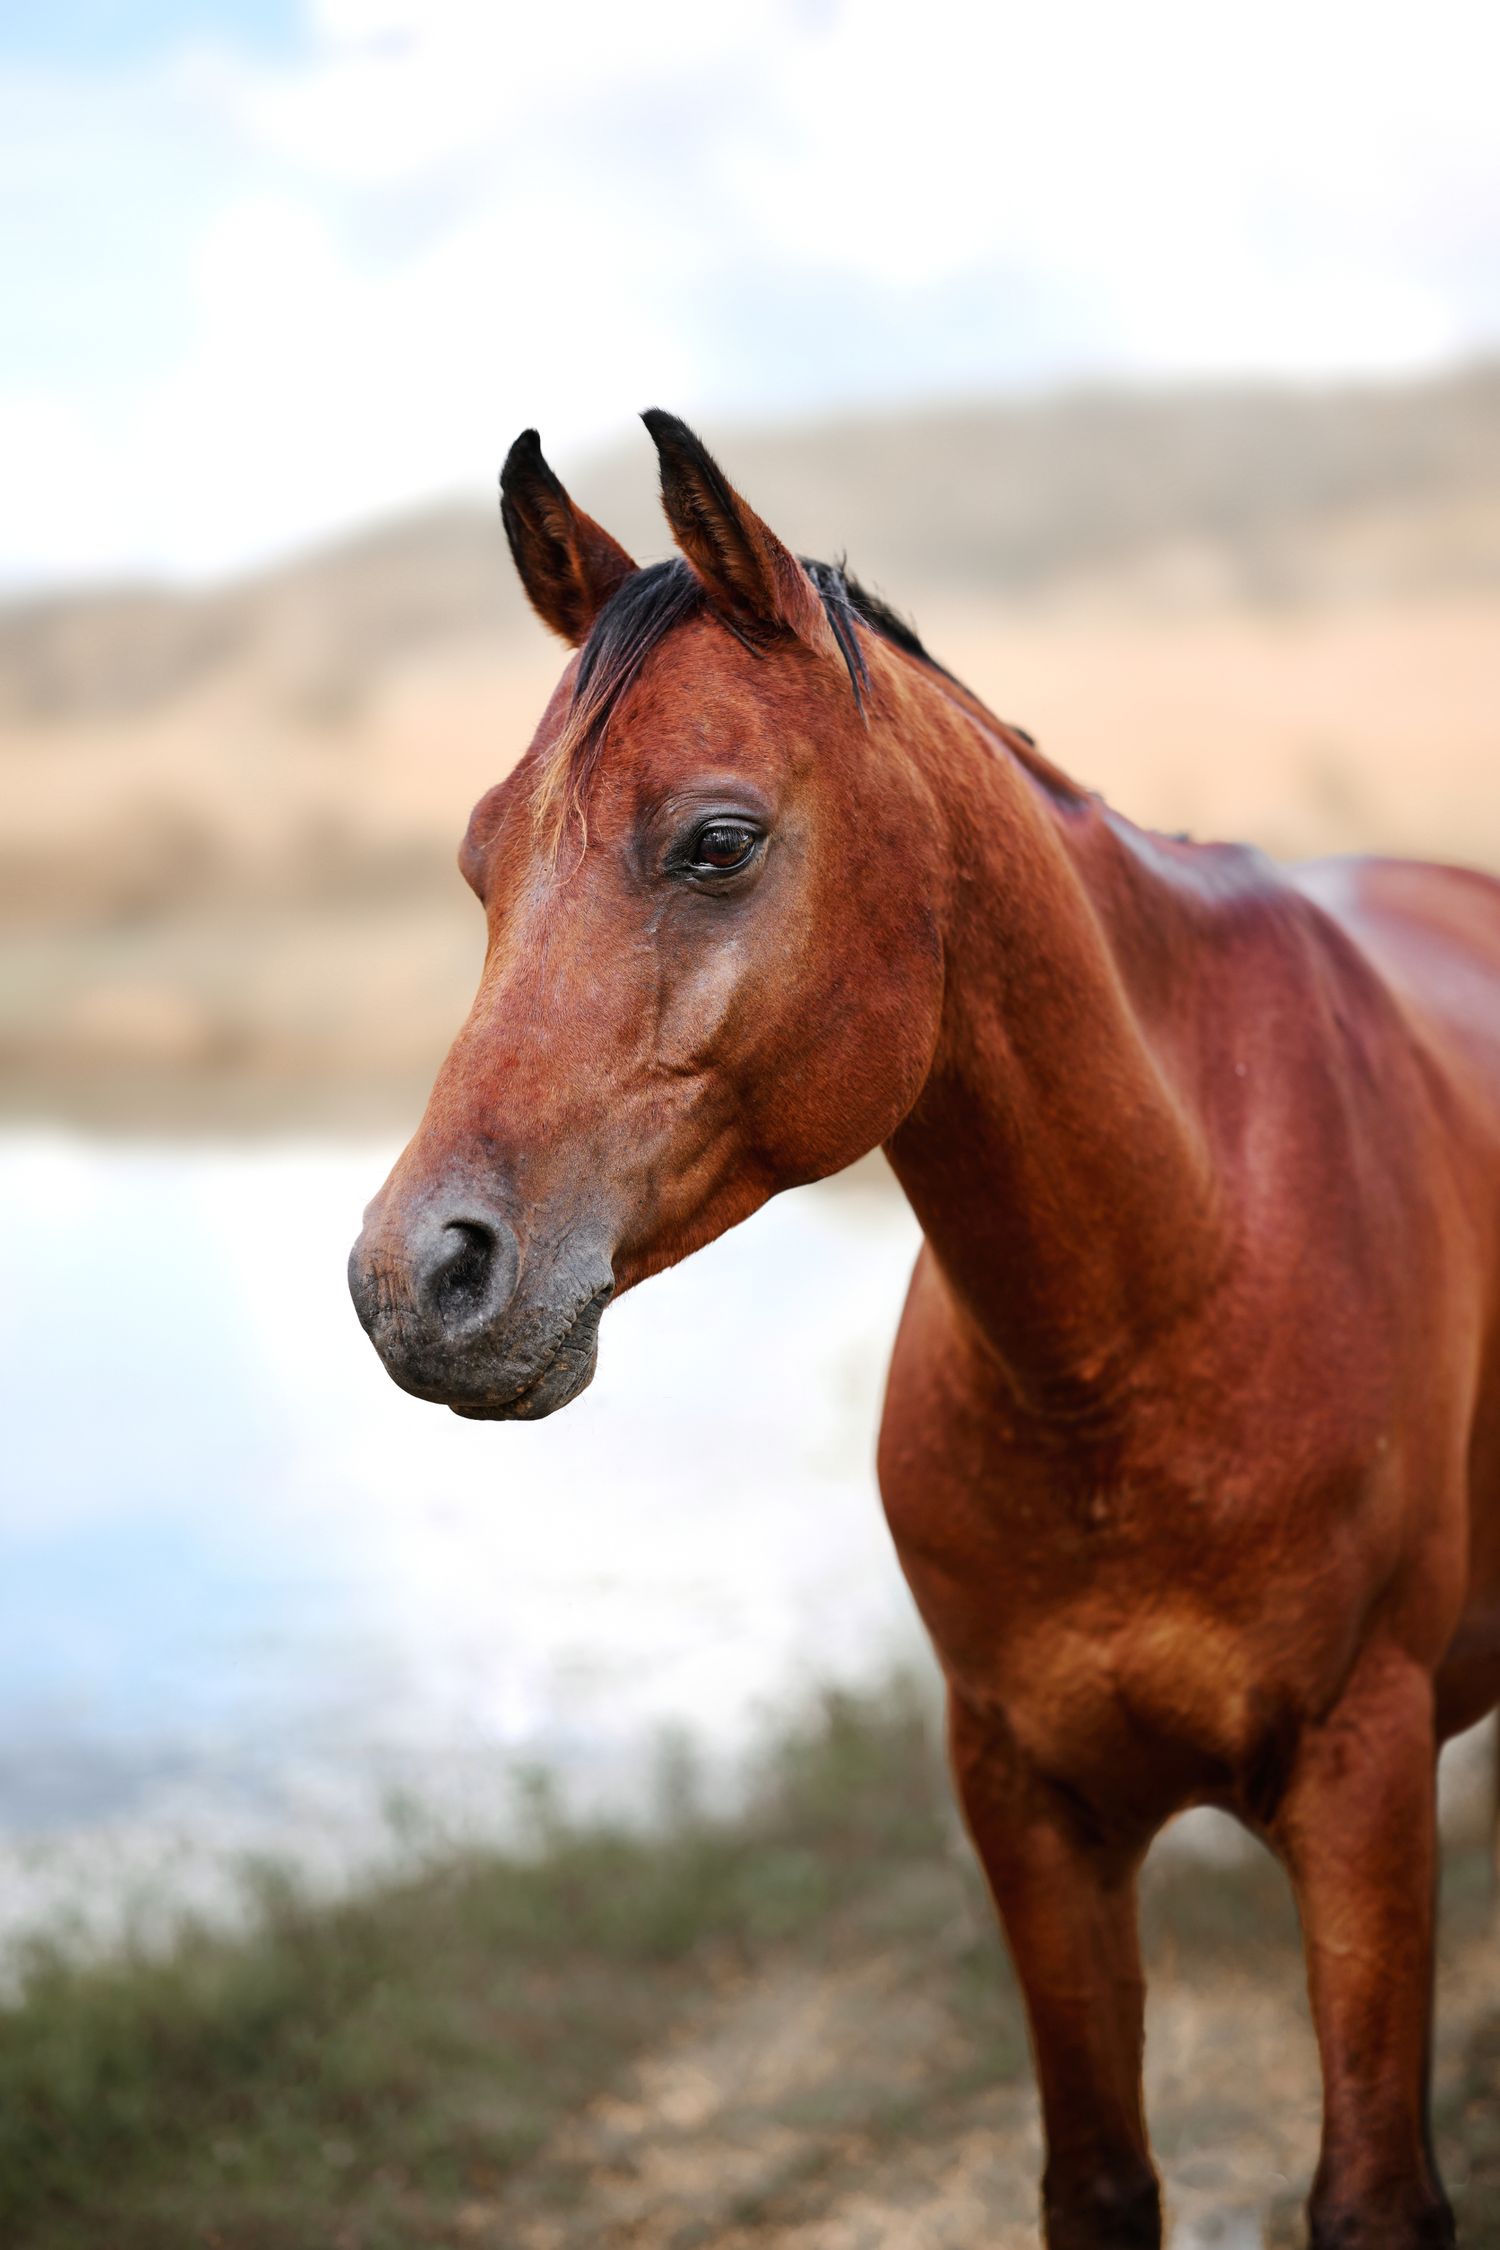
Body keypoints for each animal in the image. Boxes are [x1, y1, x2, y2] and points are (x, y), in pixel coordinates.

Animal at [348, 411, 1500, 2249]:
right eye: (478, 857)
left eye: (719, 840)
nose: (417, 1279)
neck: (1159, 1305)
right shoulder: (1025, 1803)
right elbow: (1097, 2178)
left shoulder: (1366, 1780)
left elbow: (1371, 2190)